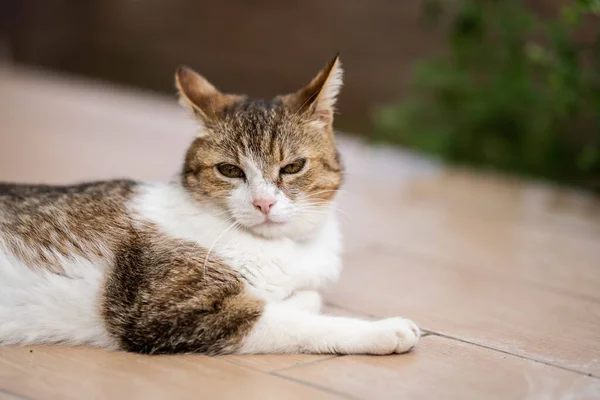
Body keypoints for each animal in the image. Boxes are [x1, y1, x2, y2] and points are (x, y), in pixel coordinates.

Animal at [0, 55, 420, 354]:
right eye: (230, 170)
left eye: (292, 167)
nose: (264, 203)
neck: (284, 248)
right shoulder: (168, 310)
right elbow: (291, 322)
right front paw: (386, 329)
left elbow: (298, 298)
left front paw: (300, 296)